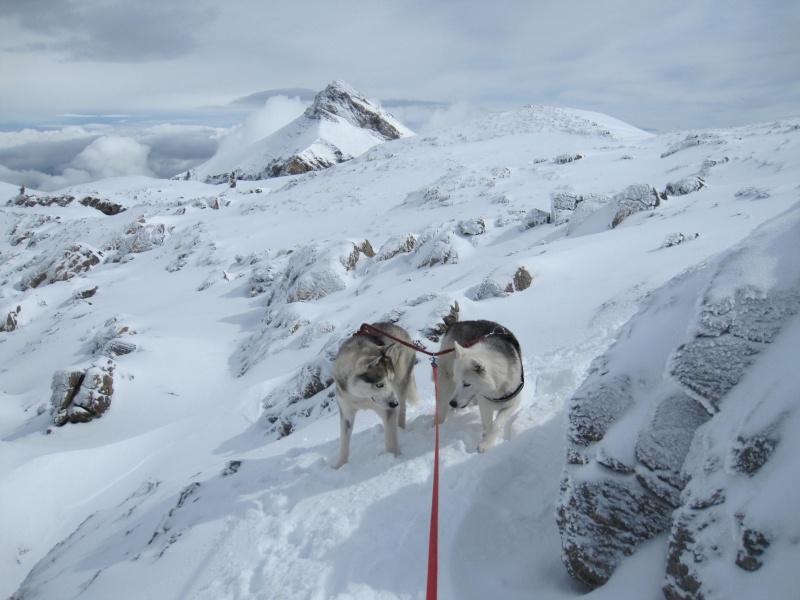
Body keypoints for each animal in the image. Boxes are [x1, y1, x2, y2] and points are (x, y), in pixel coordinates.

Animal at [332, 324, 418, 468]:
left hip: (400, 384)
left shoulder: (387, 409)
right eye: (379, 385)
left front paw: (392, 458)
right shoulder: (346, 411)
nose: (394, 403)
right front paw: (339, 466)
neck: (361, 397)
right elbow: (344, 443)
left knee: (402, 409)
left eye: (390, 380)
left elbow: (391, 441)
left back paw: (400, 427)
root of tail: (397, 327)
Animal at [438, 322, 524, 452]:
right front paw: (486, 439)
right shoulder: (485, 405)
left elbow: (495, 424)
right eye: (457, 381)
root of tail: (455, 324)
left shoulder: (513, 404)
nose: (452, 403)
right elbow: (488, 423)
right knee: (442, 407)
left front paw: (487, 442)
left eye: (467, 384)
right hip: (446, 383)